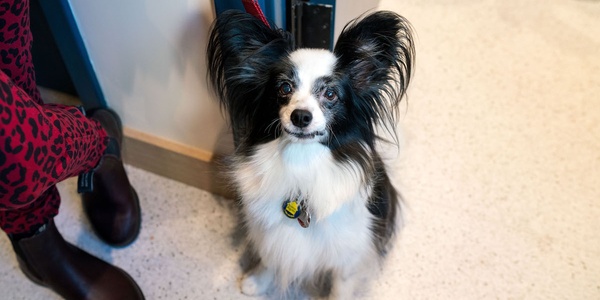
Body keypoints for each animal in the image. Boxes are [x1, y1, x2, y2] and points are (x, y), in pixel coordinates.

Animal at [206, 8, 412, 298]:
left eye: (330, 94)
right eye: (284, 88)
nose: (301, 116)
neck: (301, 162)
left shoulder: (348, 254)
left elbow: (340, 287)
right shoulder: (272, 235)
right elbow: (270, 256)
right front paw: (257, 281)